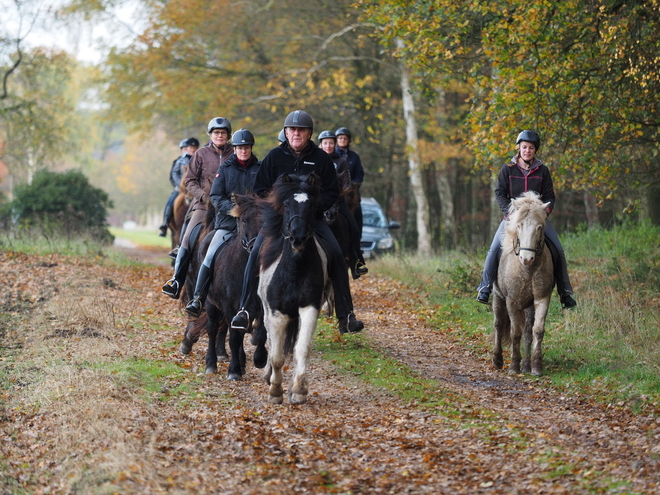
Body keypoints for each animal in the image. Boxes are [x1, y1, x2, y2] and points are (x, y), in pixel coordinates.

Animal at [492, 193, 556, 376]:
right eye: (519, 226)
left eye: (539, 227)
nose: (526, 258)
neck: (527, 270)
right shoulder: (511, 302)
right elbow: (515, 333)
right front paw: (514, 366)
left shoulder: (542, 298)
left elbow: (537, 330)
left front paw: (536, 366)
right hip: (497, 297)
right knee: (499, 324)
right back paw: (497, 360)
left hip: (529, 305)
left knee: (528, 330)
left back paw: (526, 365)